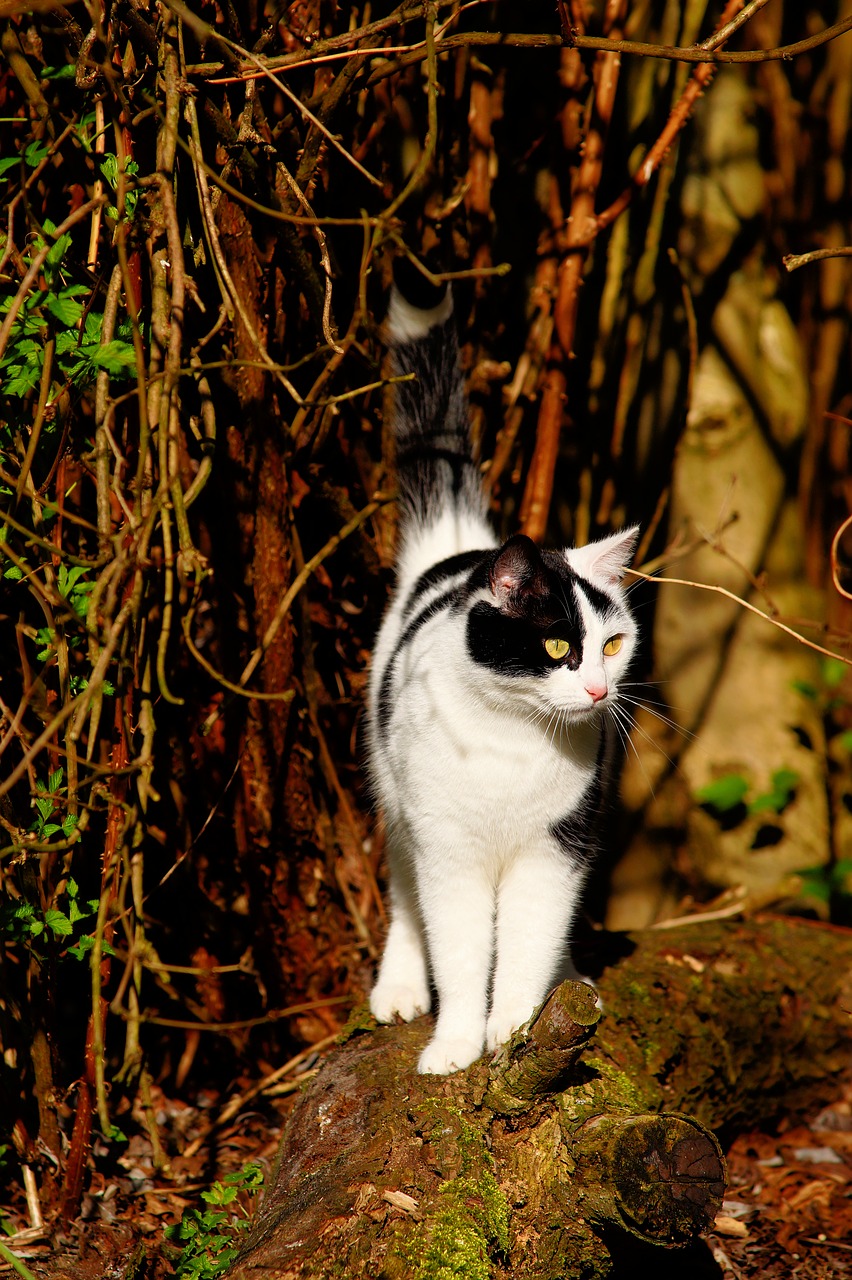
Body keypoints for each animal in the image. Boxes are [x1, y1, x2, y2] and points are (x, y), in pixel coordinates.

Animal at [365, 275, 637, 1075]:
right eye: (556, 647)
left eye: (613, 644)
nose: (599, 691)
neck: (514, 741)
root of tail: (465, 547)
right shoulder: (447, 851)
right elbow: (460, 954)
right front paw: (455, 1044)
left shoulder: (555, 850)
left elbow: (524, 950)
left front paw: (516, 1033)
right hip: (395, 800)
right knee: (403, 893)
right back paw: (399, 987)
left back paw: (570, 979)